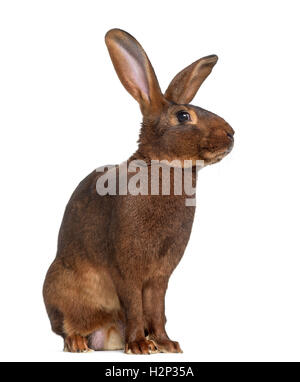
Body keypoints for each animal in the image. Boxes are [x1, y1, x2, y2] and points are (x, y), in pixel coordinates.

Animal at [42, 28, 234, 354]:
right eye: (184, 116)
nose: (232, 134)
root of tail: (104, 332)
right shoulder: (126, 269)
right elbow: (134, 304)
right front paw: (140, 346)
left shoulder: (159, 277)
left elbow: (156, 308)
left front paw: (166, 344)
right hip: (59, 288)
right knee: (65, 327)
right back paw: (79, 342)